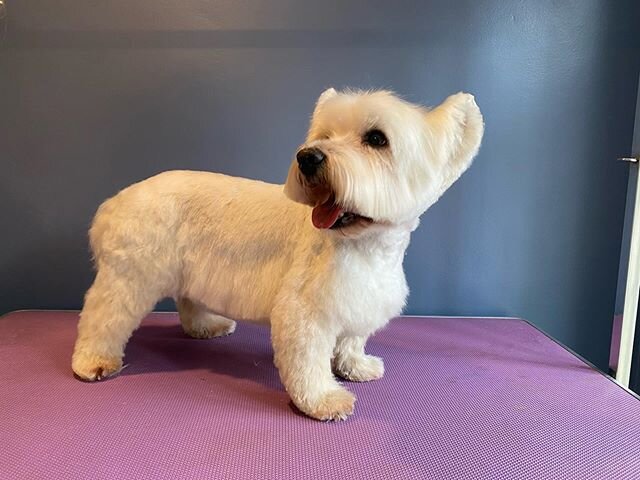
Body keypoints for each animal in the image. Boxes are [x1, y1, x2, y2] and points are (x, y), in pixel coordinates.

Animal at [71, 89, 480, 420]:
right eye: (323, 136)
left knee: (188, 301)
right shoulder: (304, 309)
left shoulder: (359, 299)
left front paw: (356, 365)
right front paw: (323, 399)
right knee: (103, 316)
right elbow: (308, 359)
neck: (363, 245)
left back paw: (207, 325)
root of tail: (116, 201)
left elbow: (352, 339)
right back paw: (93, 361)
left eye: (377, 139)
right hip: (131, 276)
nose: (308, 157)